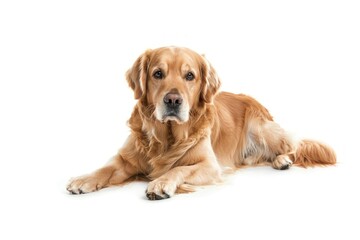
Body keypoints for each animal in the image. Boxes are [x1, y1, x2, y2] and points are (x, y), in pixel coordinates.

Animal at [66, 46, 336, 199]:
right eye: (157, 74)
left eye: (190, 76)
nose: (173, 100)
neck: (167, 137)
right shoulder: (126, 159)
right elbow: (105, 168)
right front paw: (83, 179)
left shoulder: (209, 165)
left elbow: (179, 168)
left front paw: (161, 183)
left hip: (264, 130)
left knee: (293, 146)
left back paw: (283, 160)